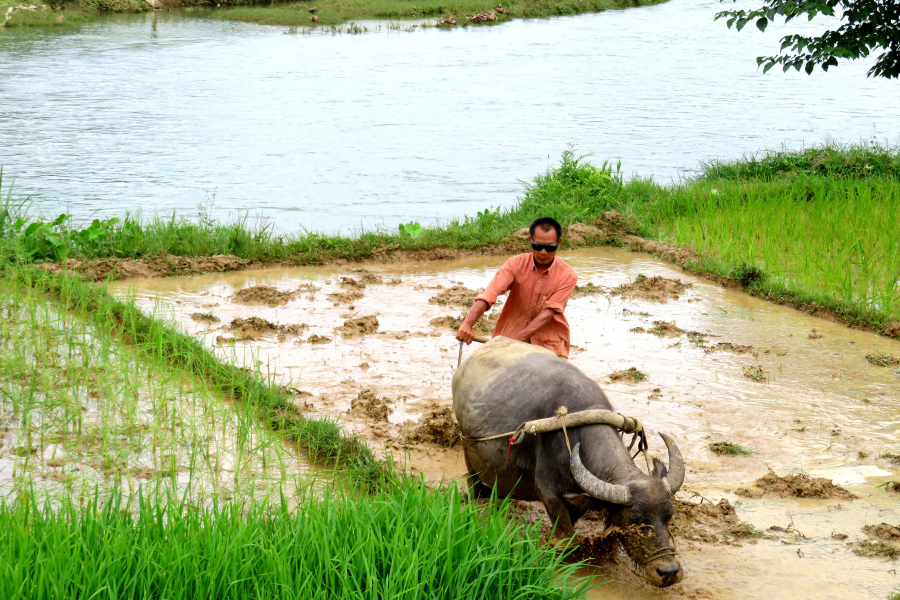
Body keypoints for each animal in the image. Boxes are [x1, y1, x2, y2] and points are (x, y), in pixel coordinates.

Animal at [454, 338, 684, 584]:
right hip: (468, 450)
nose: (668, 571)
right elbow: (565, 537)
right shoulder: (550, 493)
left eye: (669, 516)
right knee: (473, 481)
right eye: (634, 520)